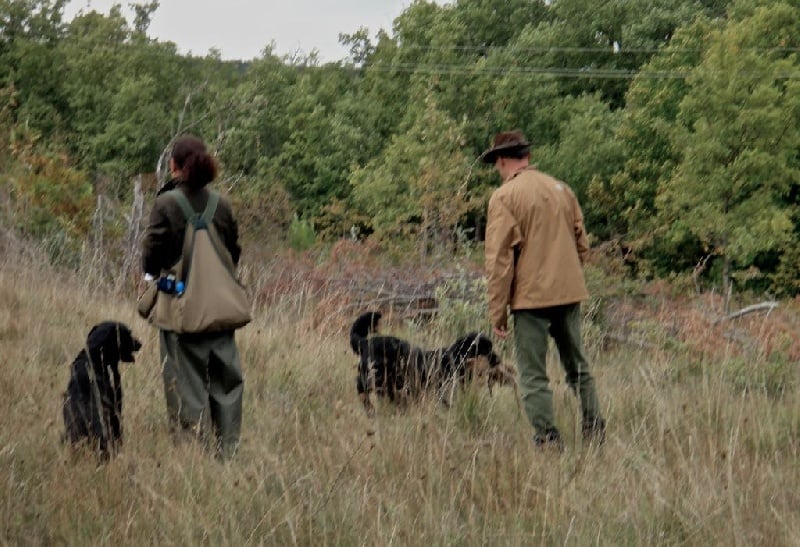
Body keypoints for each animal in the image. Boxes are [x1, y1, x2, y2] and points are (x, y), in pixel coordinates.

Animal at [350, 311, 516, 416]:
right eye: (486, 349)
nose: (498, 360)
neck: (454, 360)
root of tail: (365, 342)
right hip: (373, 377)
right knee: (361, 388)